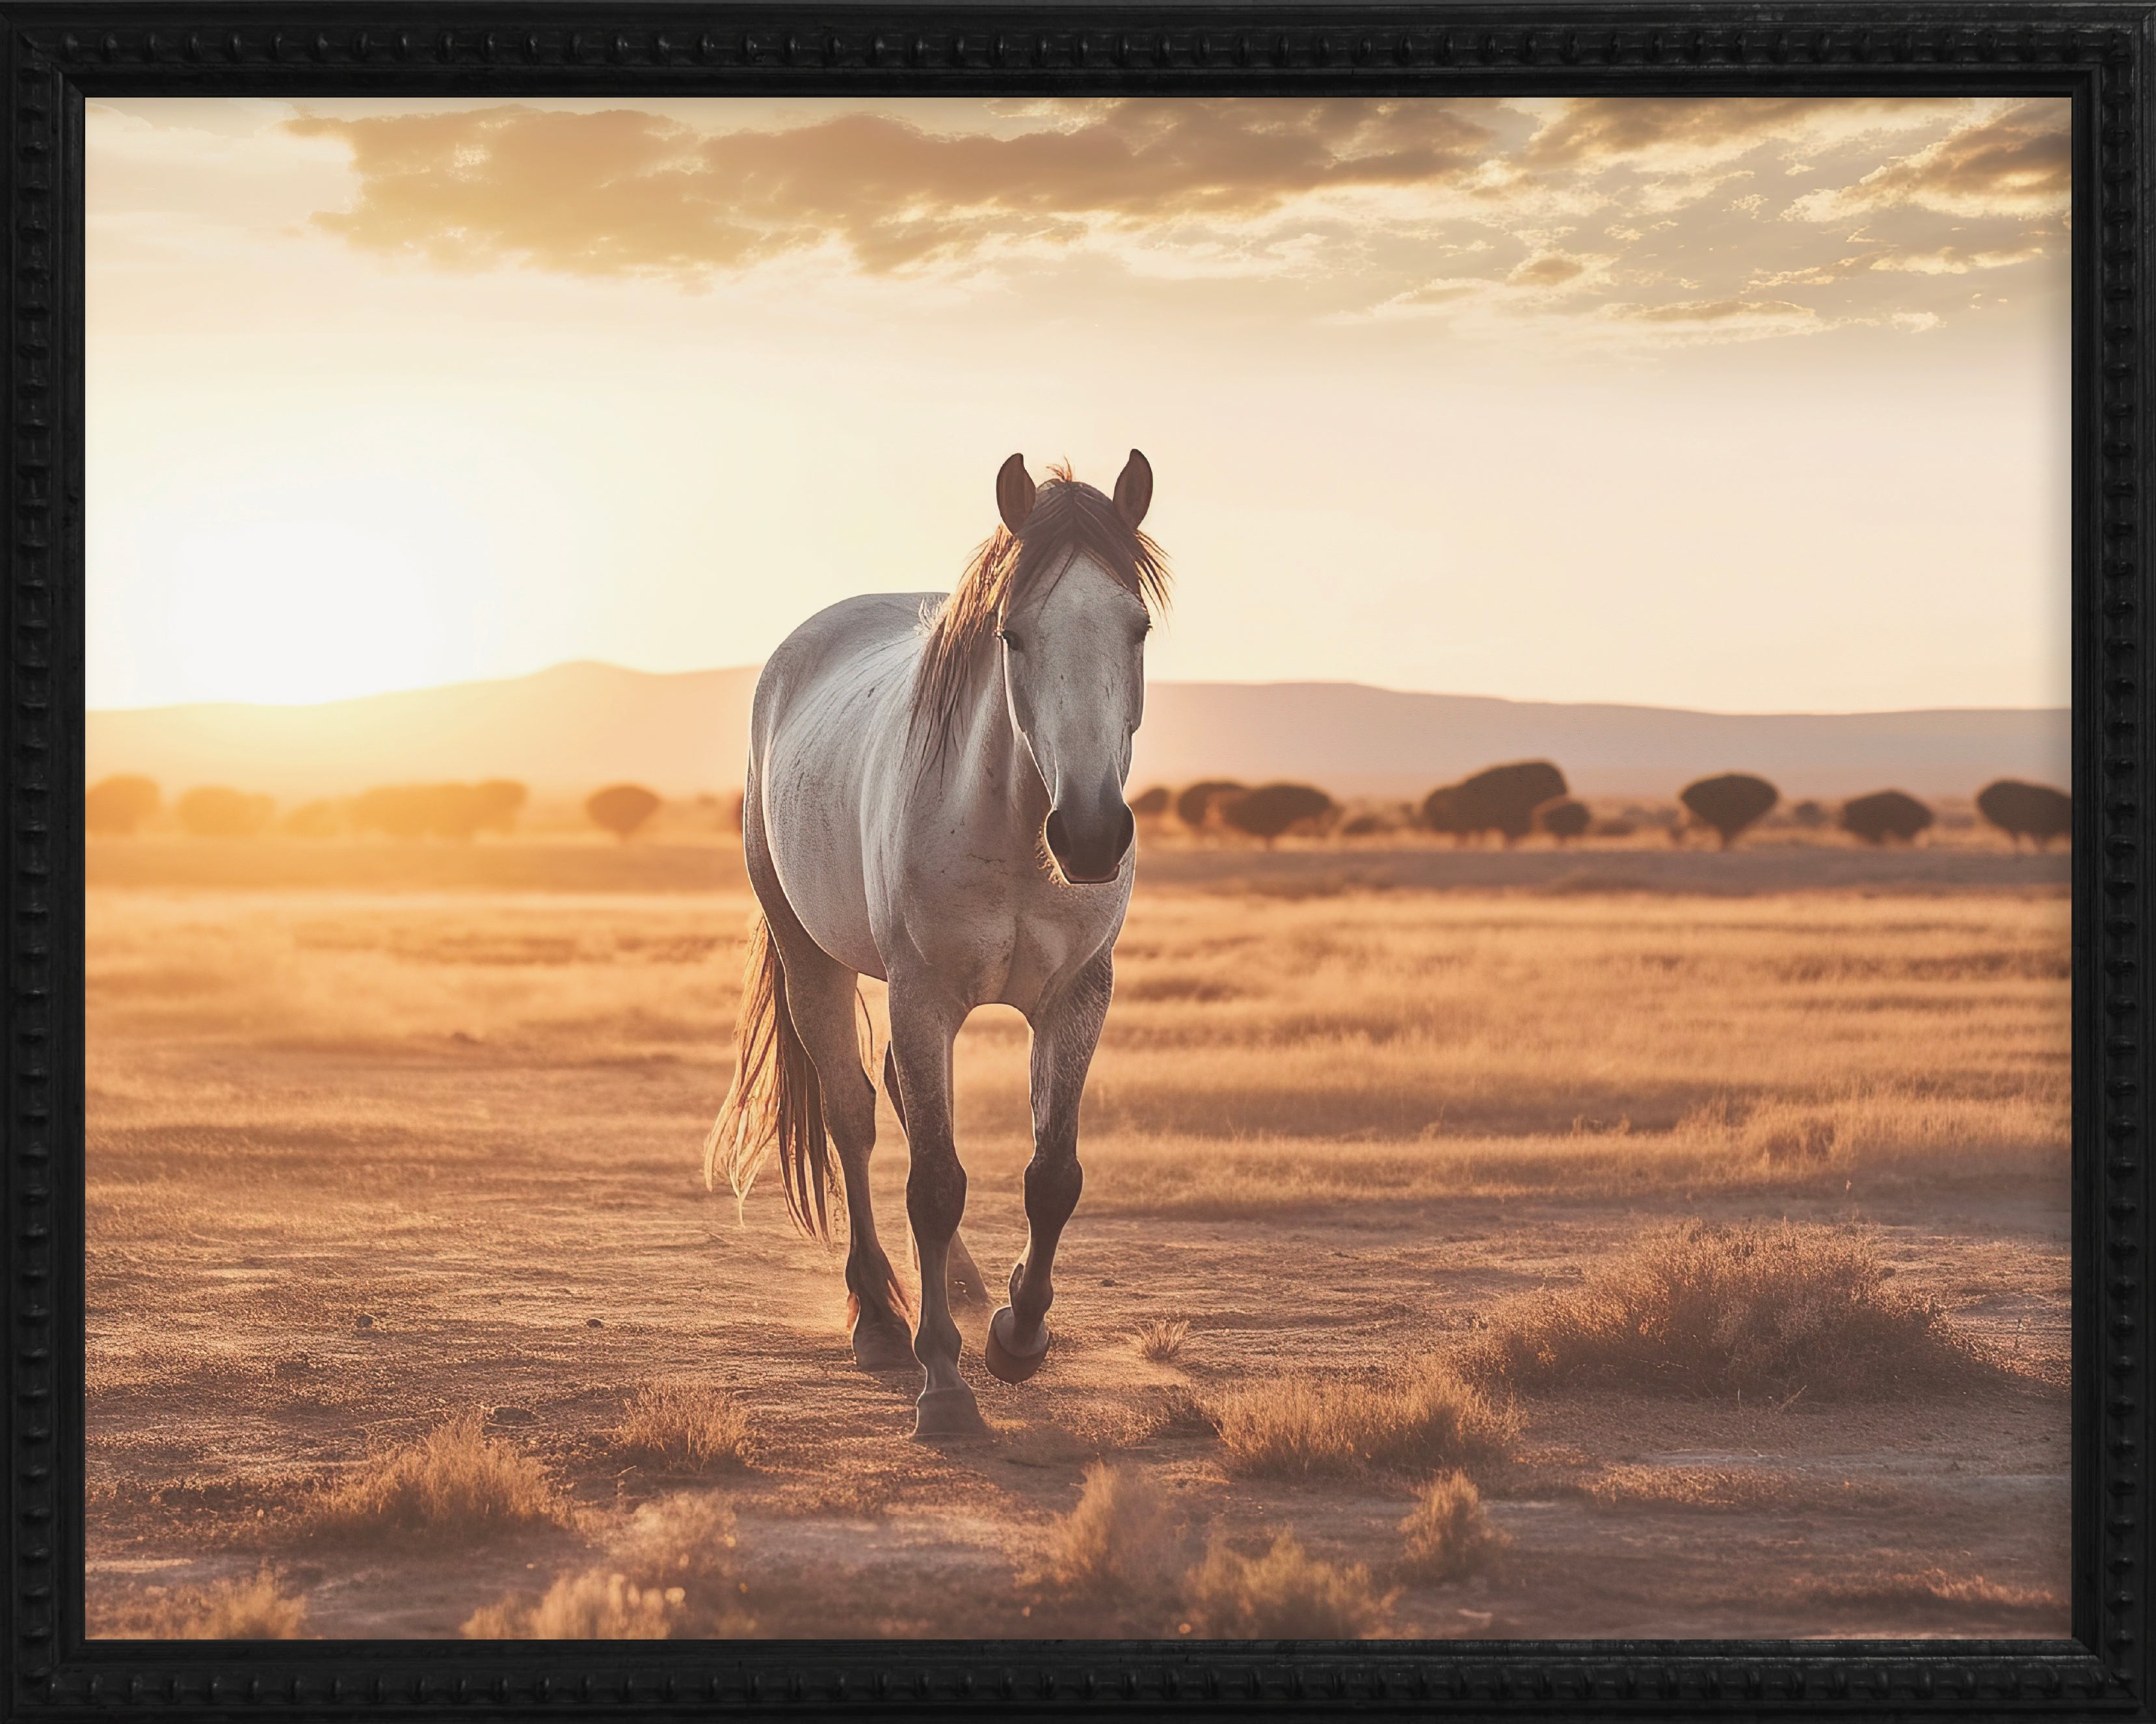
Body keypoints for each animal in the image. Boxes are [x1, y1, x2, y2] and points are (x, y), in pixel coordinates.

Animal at [706, 451, 1167, 1438]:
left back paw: (956, 1285)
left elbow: (1051, 1175)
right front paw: (944, 1379)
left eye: (1137, 627)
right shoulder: (922, 994)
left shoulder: (1077, 996)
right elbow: (932, 1183)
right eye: (1014, 635)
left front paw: (1016, 1334)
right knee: (853, 1115)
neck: (1015, 830)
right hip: (812, 959)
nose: (1091, 835)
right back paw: (882, 1318)